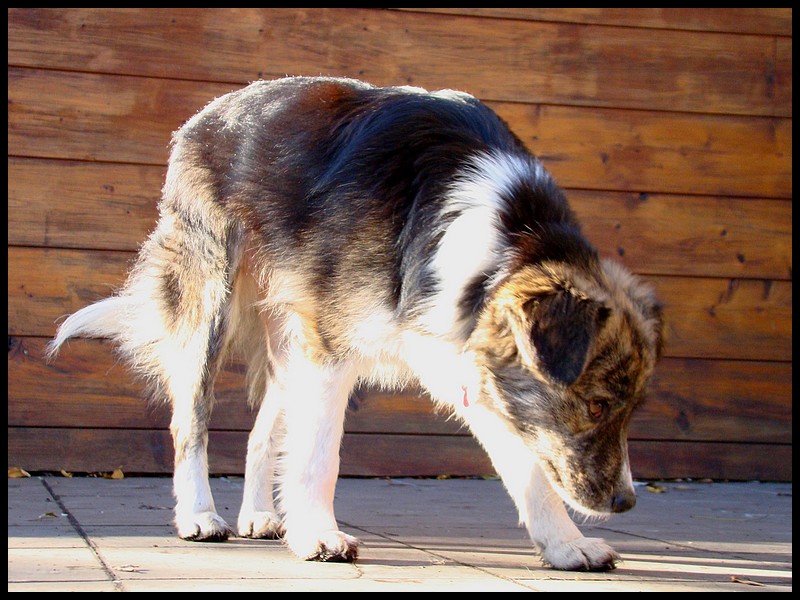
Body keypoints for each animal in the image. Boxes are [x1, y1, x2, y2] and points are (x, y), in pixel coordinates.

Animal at [47, 77, 664, 568]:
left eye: (629, 409)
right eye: (596, 406)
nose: (627, 502)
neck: (505, 242)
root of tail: (206, 113)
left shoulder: (472, 363)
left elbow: (529, 466)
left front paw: (565, 544)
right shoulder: (331, 346)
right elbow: (320, 455)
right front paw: (318, 535)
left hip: (288, 337)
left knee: (262, 433)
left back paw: (259, 514)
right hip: (212, 301)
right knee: (190, 422)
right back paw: (200, 515)